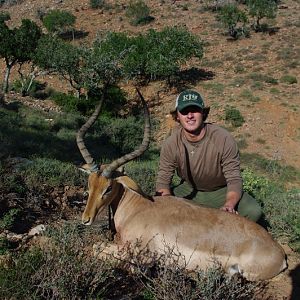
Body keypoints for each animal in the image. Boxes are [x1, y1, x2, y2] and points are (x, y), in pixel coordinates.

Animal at [76, 88, 288, 280]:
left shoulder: (140, 252)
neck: (137, 208)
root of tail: (280, 254)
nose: (86, 219)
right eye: (89, 184)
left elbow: (96, 247)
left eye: (108, 188)